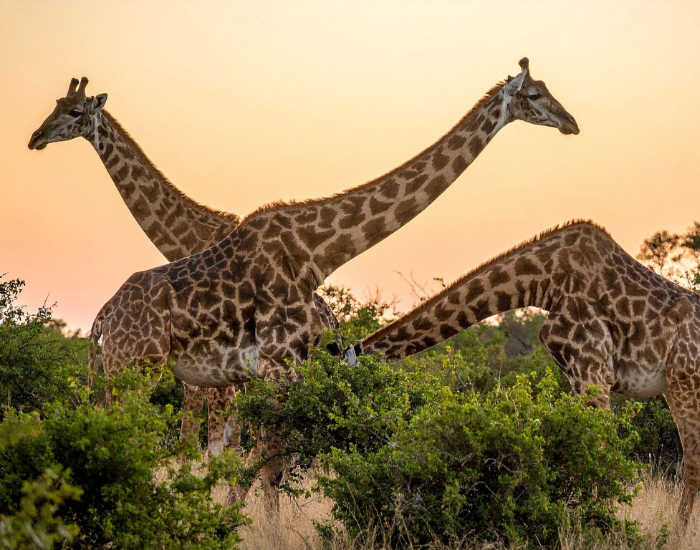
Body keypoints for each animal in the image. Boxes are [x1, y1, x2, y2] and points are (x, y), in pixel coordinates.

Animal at [27, 76, 339, 456]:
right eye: (55, 104)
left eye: (75, 111)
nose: (36, 137)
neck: (193, 238)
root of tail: (334, 325)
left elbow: (213, 431)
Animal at [88, 58, 578, 500]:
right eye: (535, 95)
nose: (571, 123)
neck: (313, 253)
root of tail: (104, 316)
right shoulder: (275, 368)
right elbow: (261, 464)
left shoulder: (279, 371)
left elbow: (262, 464)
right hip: (134, 367)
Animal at [344, 220, 700, 524]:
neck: (542, 281)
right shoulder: (581, 376)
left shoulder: (593, 369)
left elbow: (603, 453)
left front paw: (602, 525)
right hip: (672, 387)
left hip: (685, 380)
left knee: (692, 459)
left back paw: (677, 532)